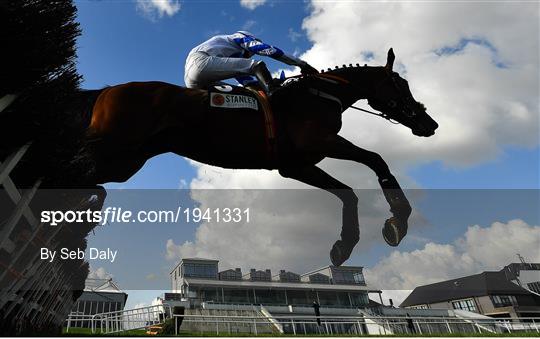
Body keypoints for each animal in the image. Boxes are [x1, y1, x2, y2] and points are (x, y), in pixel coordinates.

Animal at [85, 48, 438, 266]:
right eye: (401, 84)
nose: (429, 123)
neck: (319, 95)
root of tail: (107, 90)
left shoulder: (296, 165)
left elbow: (348, 192)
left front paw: (344, 245)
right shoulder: (319, 145)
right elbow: (376, 160)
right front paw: (398, 220)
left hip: (127, 161)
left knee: (92, 183)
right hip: (115, 152)